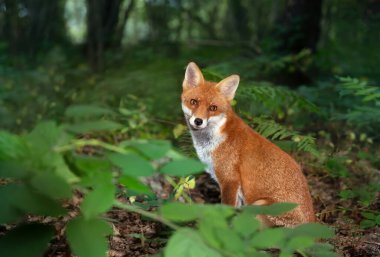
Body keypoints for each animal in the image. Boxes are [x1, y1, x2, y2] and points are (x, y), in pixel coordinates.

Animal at [181, 62, 314, 226]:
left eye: (212, 108)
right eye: (194, 102)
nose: (198, 121)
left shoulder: (229, 180)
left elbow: (226, 211)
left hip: (257, 206)